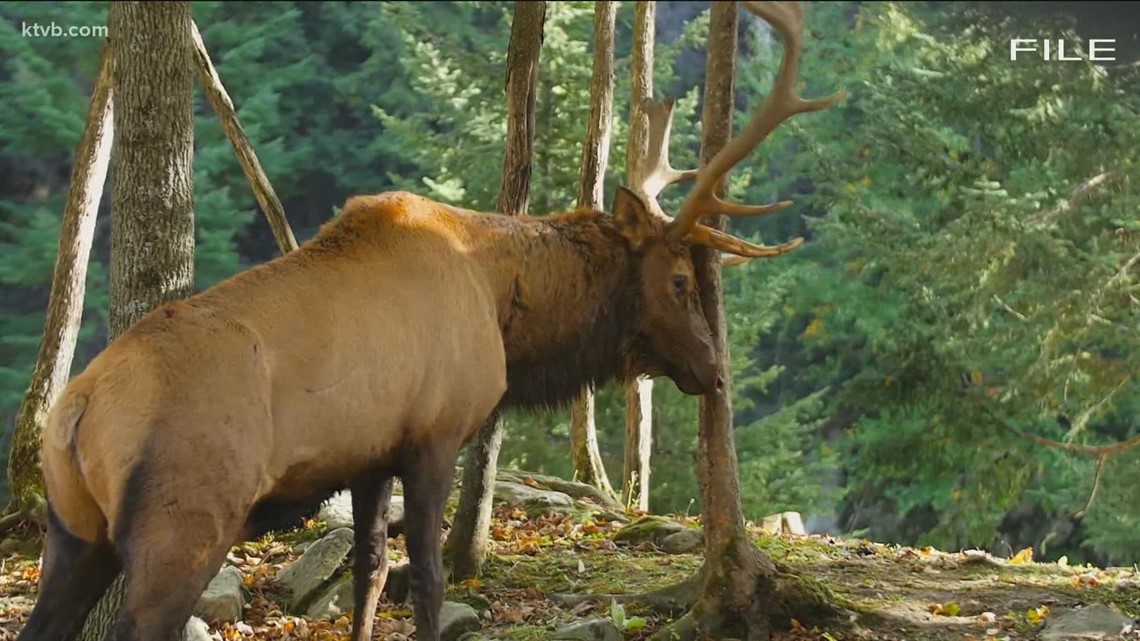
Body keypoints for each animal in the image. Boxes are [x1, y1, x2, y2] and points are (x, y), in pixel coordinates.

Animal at [17, 3, 838, 641]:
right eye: (678, 280)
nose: (713, 370)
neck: (505, 312)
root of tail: (75, 413)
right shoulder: (437, 432)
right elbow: (432, 577)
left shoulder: (370, 453)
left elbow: (372, 573)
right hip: (184, 519)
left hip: (74, 529)